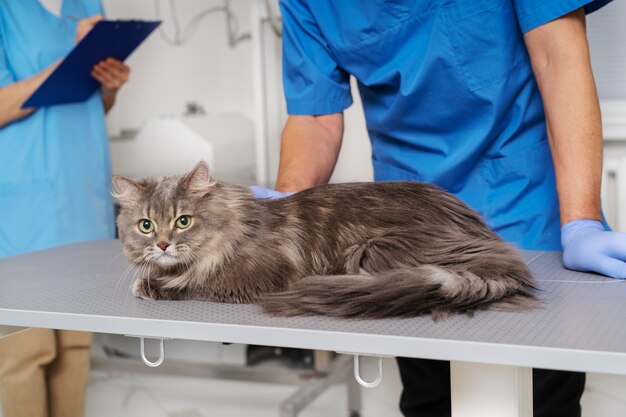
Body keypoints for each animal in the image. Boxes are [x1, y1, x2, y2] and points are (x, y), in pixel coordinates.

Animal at [111, 161, 532, 316]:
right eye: (146, 226)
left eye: (183, 221)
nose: (163, 244)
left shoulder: (248, 280)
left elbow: (195, 283)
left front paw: (151, 286)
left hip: (372, 250)